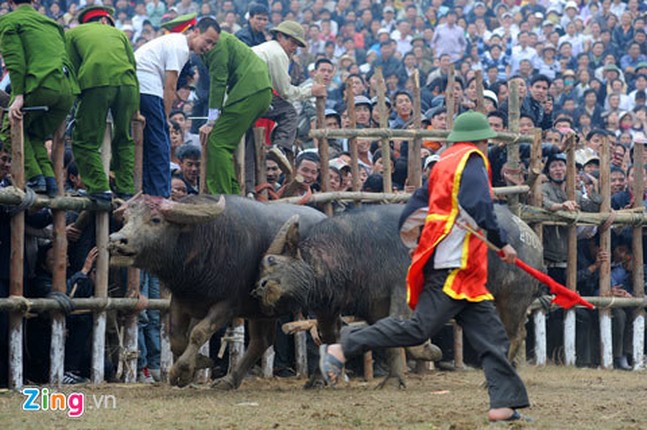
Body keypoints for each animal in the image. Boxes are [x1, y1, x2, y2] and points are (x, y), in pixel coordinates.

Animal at [109, 195, 330, 390]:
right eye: (125, 219)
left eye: (156, 219)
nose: (116, 241)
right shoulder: (181, 299)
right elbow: (176, 337)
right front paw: (200, 362)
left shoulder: (227, 305)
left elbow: (198, 333)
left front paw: (181, 371)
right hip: (262, 311)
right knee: (262, 341)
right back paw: (229, 381)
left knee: (321, 335)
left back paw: (317, 380)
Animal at [256, 203, 544, 382]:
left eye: (272, 261)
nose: (258, 288)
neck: (352, 248)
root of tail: (529, 235)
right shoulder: (360, 305)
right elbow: (378, 337)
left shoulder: (401, 294)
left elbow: (405, 333)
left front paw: (430, 353)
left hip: (513, 298)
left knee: (514, 334)